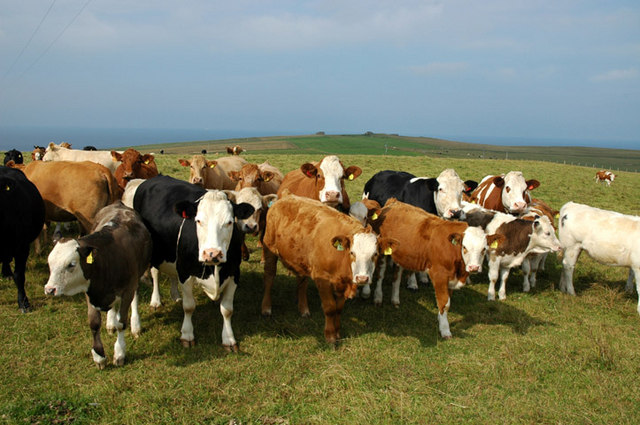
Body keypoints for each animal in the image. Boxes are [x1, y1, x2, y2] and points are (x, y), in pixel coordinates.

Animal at [44, 202, 152, 368]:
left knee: (134, 298)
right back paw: (110, 322)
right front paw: (99, 356)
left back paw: (135, 325)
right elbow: (94, 323)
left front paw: (119, 353)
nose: (50, 289)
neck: (106, 258)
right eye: (50, 263)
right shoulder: (91, 291)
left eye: (71, 264)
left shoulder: (128, 289)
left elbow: (122, 322)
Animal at [131, 174, 254, 350]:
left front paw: (229, 338)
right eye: (198, 221)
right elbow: (189, 306)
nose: (212, 253)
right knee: (144, 281)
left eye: (230, 222)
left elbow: (227, 310)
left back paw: (174, 296)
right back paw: (143, 316)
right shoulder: (185, 272)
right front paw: (187, 335)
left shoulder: (234, 274)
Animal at [260, 192, 396, 344]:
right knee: (269, 276)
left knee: (302, 281)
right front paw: (330, 336)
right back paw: (266, 308)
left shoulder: (342, 283)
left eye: (375, 254)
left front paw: (337, 333)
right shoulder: (322, 278)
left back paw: (303, 308)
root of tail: (287, 195)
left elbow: (338, 308)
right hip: (270, 248)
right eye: (352, 252)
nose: (362, 278)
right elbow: (330, 307)